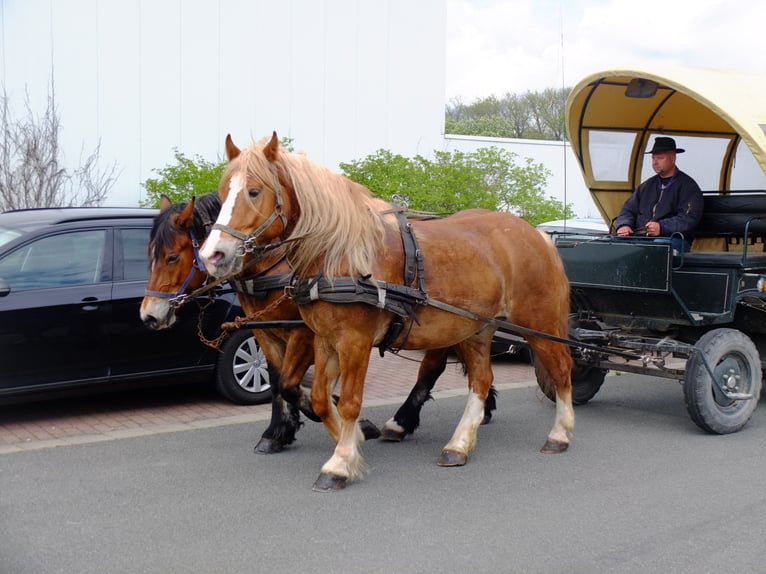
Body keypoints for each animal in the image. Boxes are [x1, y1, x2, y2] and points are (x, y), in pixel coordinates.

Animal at [141, 196, 498, 456]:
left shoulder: (304, 331)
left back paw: (406, 420)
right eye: (150, 254)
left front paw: (345, 419)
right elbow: (277, 380)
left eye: (173, 257)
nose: (149, 315)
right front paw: (278, 432)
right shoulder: (264, 331)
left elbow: (290, 383)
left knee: (433, 367)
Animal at [201, 133, 572, 492]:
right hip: (476, 329)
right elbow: (316, 397)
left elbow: (349, 402)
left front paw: (340, 462)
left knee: (561, 369)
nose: (212, 255)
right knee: (481, 380)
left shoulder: (354, 341)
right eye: (222, 193)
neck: (341, 254)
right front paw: (352, 442)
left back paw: (560, 434)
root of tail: (537, 234)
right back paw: (458, 445)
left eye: (254, 191)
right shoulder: (324, 339)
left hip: (538, 324)